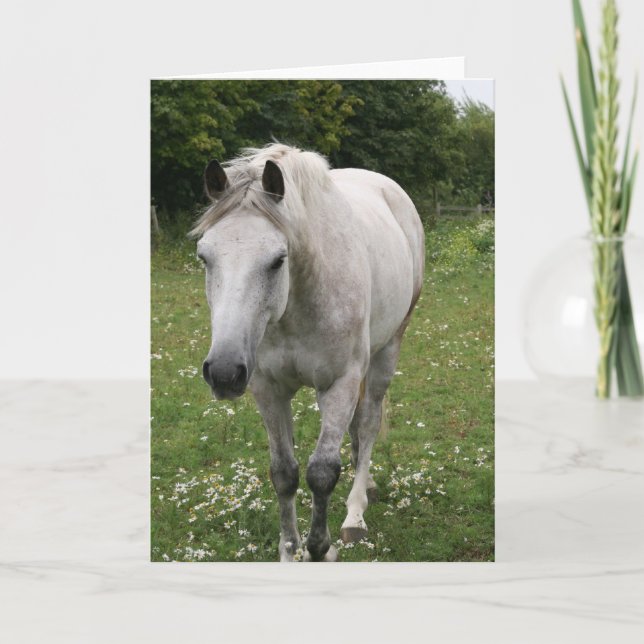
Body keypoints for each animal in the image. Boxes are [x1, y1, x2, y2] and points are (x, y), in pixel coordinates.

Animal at [191, 144, 424, 561]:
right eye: (205, 257)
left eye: (277, 260)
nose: (223, 373)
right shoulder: (267, 389)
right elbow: (284, 473)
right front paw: (289, 550)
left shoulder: (340, 382)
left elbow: (321, 473)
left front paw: (319, 549)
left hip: (388, 349)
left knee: (368, 423)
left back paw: (355, 512)